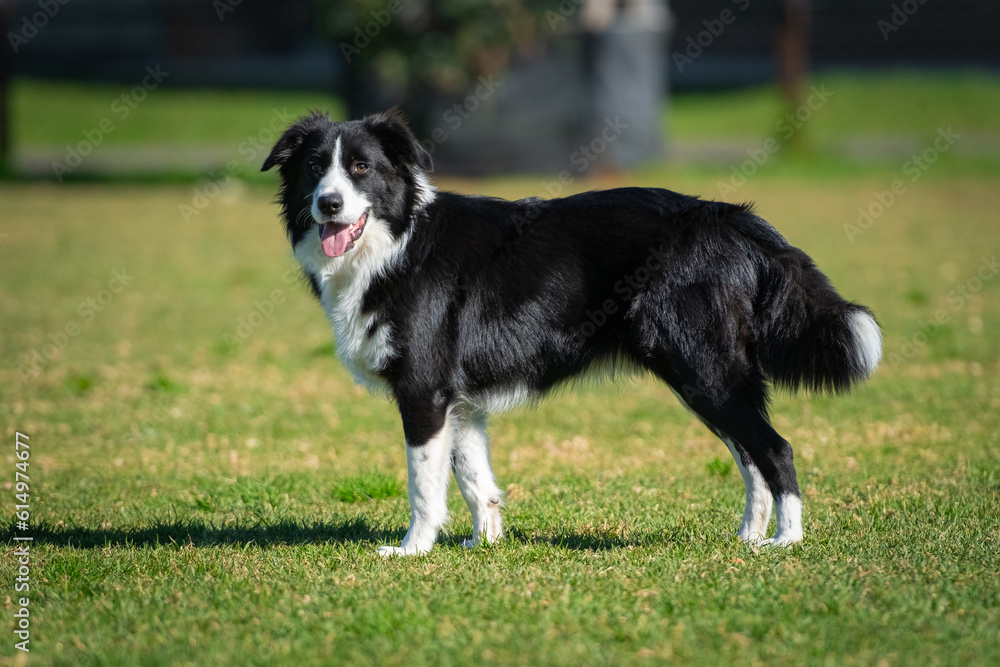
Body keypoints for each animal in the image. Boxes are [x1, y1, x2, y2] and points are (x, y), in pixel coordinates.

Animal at [262, 109, 880, 556]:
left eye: (362, 168)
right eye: (314, 168)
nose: (329, 204)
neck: (397, 243)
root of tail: (725, 215)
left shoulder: (424, 390)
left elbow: (423, 485)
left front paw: (413, 550)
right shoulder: (459, 401)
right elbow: (473, 478)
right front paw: (484, 545)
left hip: (703, 368)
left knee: (775, 448)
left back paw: (785, 541)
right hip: (701, 374)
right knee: (749, 453)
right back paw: (749, 537)